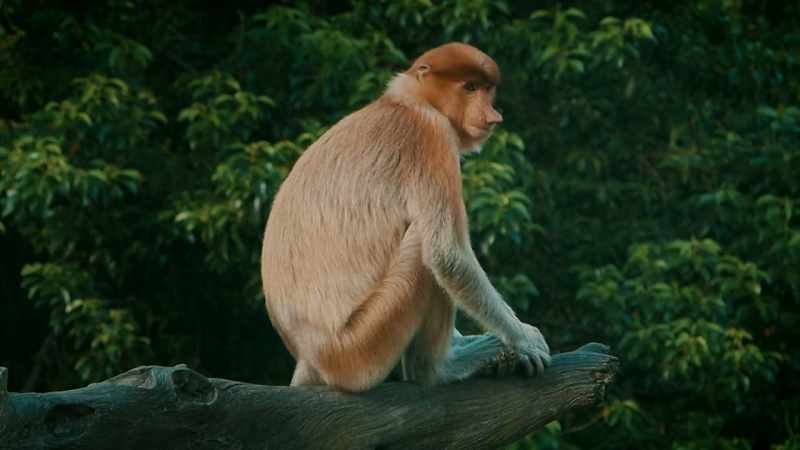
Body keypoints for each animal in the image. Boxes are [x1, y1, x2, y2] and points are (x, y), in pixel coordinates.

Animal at [261, 42, 550, 392]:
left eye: (487, 90)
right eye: (469, 87)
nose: (493, 116)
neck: (410, 100)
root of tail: (309, 355)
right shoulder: (432, 136)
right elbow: (447, 255)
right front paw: (525, 340)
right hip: (363, 346)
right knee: (423, 249)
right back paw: (438, 370)